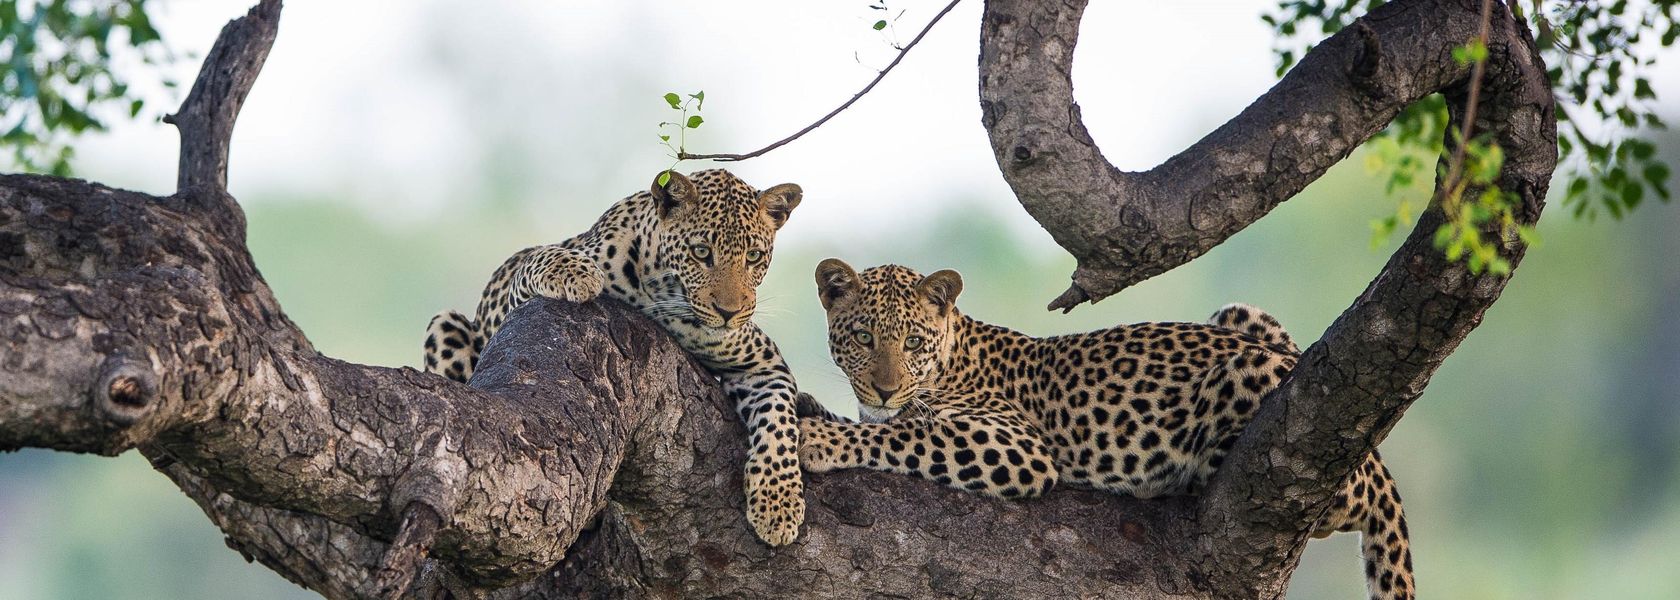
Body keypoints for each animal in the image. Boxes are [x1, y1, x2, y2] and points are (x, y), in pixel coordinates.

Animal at [423, 168, 809, 547]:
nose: (730, 313)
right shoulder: (514, 301)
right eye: (701, 252)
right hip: (444, 323)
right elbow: (540, 257)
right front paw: (576, 272)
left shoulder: (762, 361)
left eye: (754, 257)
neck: (664, 293)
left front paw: (779, 505)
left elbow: (778, 423)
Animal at [799, 258, 1417, 598]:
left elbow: (903, 436)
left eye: (912, 342)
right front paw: (812, 407)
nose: (884, 389)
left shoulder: (1016, 446)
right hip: (1243, 317)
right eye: (863, 338)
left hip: (1250, 372)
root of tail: (1379, 464)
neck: (951, 356)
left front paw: (819, 440)